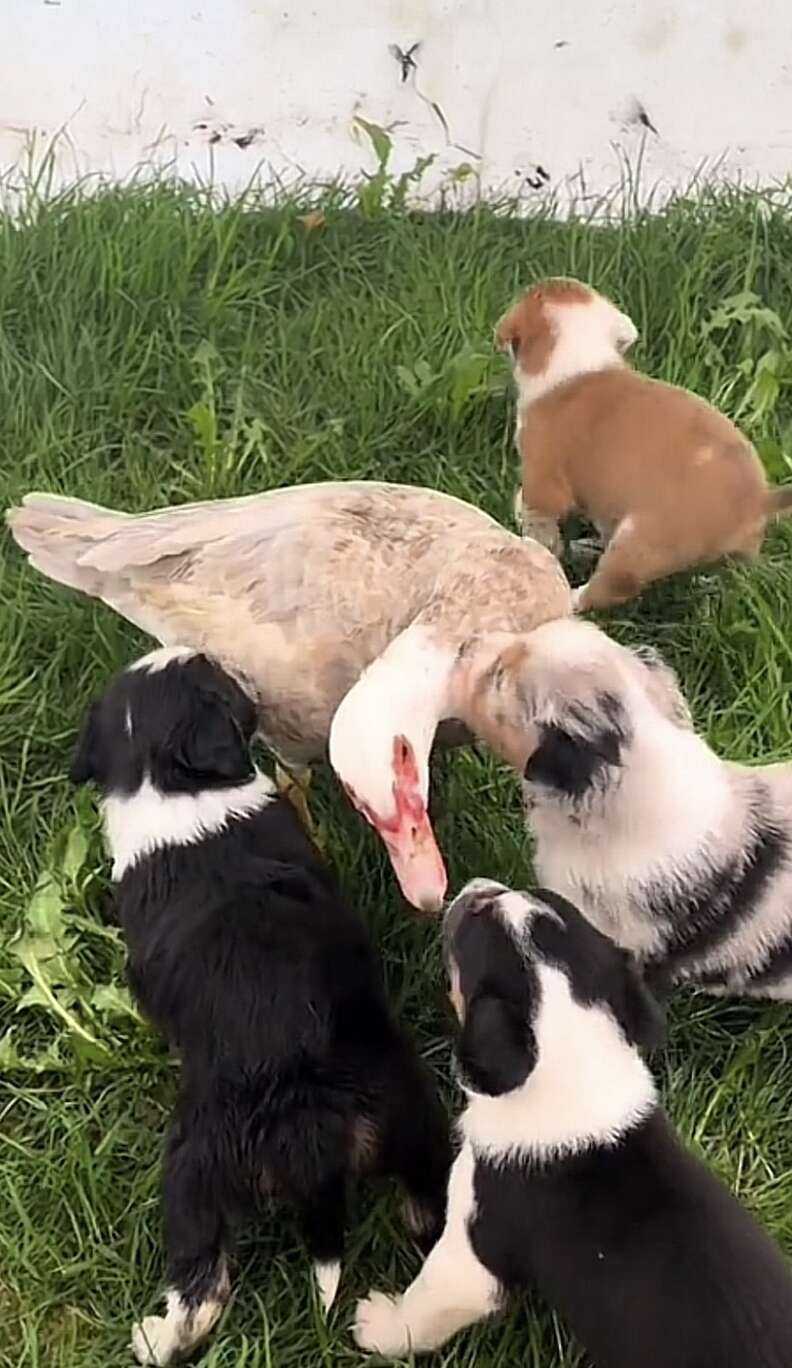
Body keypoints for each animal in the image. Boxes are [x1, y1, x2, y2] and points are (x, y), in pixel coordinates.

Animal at [71, 645, 456, 1362]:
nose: (222, 662)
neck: (167, 781)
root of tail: (305, 1122)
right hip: (405, 1106)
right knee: (427, 1200)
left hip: (192, 1168)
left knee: (200, 1285)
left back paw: (153, 1338)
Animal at [355, 875, 792, 1368]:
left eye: (476, 917)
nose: (478, 885)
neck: (575, 1051)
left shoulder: (471, 1256)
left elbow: (426, 1303)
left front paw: (378, 1326)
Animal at [495, 277, 792, 610]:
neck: (581, 359)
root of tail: (759, 500)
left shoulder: (543, 480)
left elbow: (534, 514)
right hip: (736, 560)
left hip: (636, 542)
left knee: (612, 586)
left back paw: (574, 597)